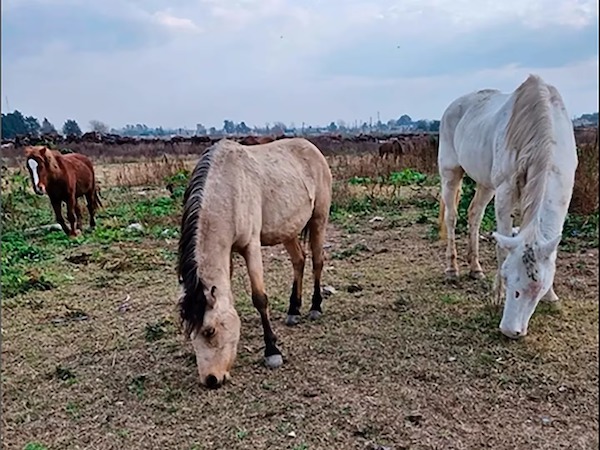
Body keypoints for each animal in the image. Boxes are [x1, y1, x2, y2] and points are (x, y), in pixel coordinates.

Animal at [178, 136, 332, 386]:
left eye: (210, 331)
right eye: (190, 333)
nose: (211, 380)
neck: (227, 190)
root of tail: (311, 147)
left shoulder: (251, 246)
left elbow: (259, 298)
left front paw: (272, 351)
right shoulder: (228, 253)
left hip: (319, 219)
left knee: (317, 261)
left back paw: (315, 307)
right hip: (288, 230)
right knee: (299, 261)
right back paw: (293, 310)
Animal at [438, 74, 580, 338]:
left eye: (538, 287)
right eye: (507, 275)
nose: (509, 330)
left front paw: (552, 297)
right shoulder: (505, 192)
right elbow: (502, 245)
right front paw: (497, 296)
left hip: (486, 184)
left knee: (474, 215)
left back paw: (475, 268)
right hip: (450, 172)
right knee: (452, 217)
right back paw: (452, 269)